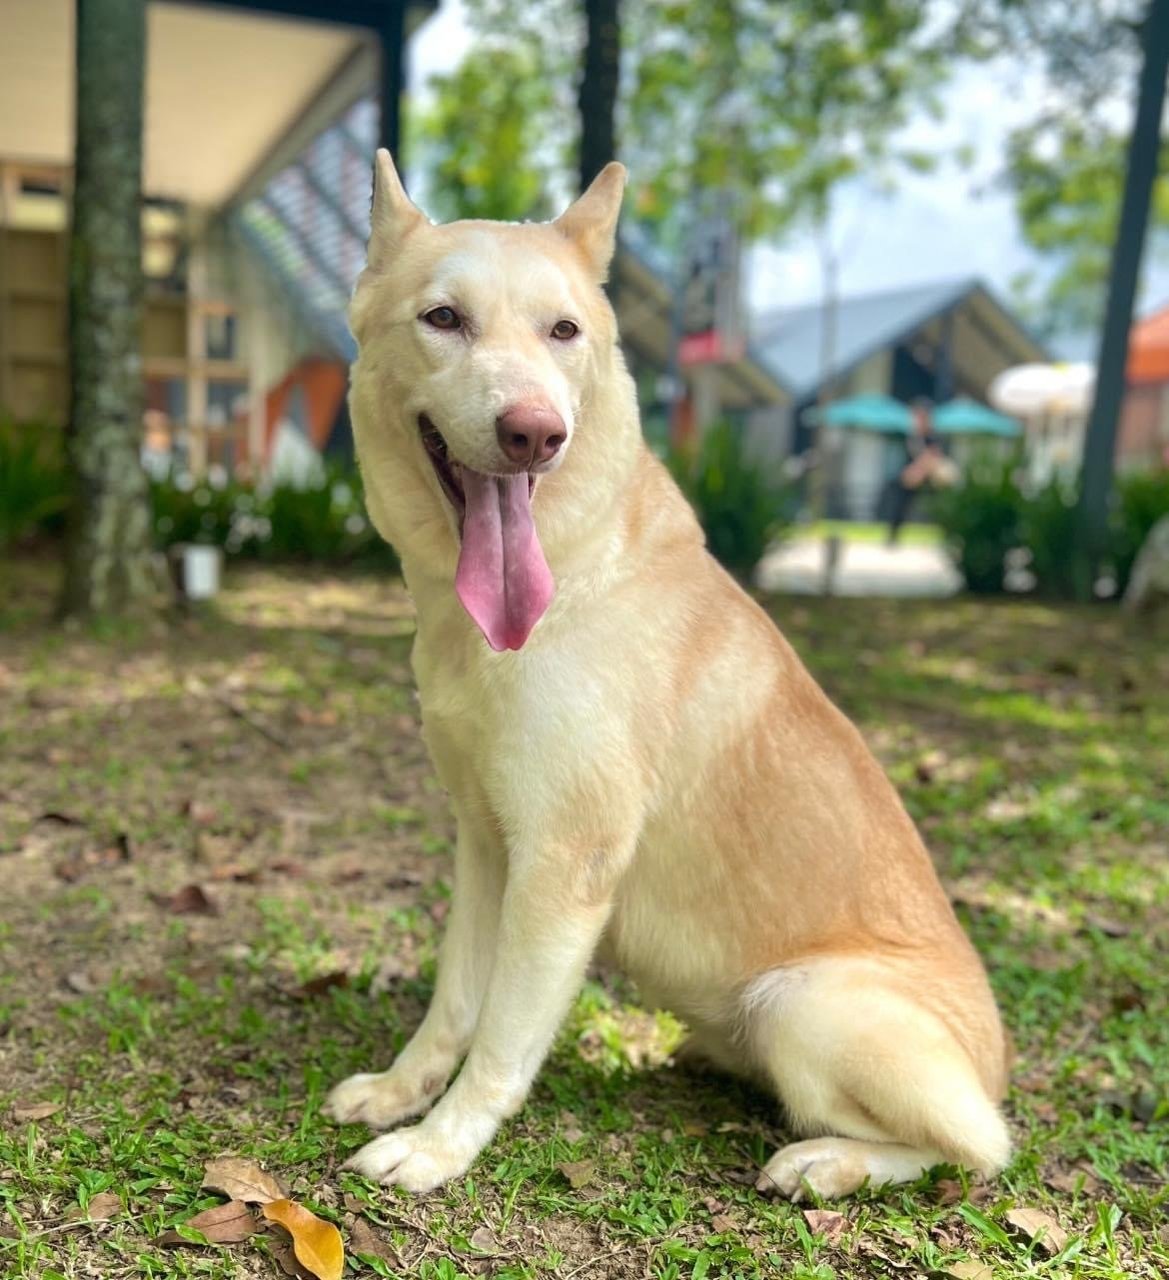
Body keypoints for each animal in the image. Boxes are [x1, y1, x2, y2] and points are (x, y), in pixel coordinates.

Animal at [323, 149, 1008, 1198]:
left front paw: (441, 1147)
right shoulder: (486, 842)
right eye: (443, 318)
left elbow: (501, 1043)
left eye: (563, 331)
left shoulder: (563, 867)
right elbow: (453, 1004)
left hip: (803, 1002)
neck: (565, 577)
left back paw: (825, 1163)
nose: (534, 433)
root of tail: (994, 1071)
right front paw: (403, 1093)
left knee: (973, 1150)